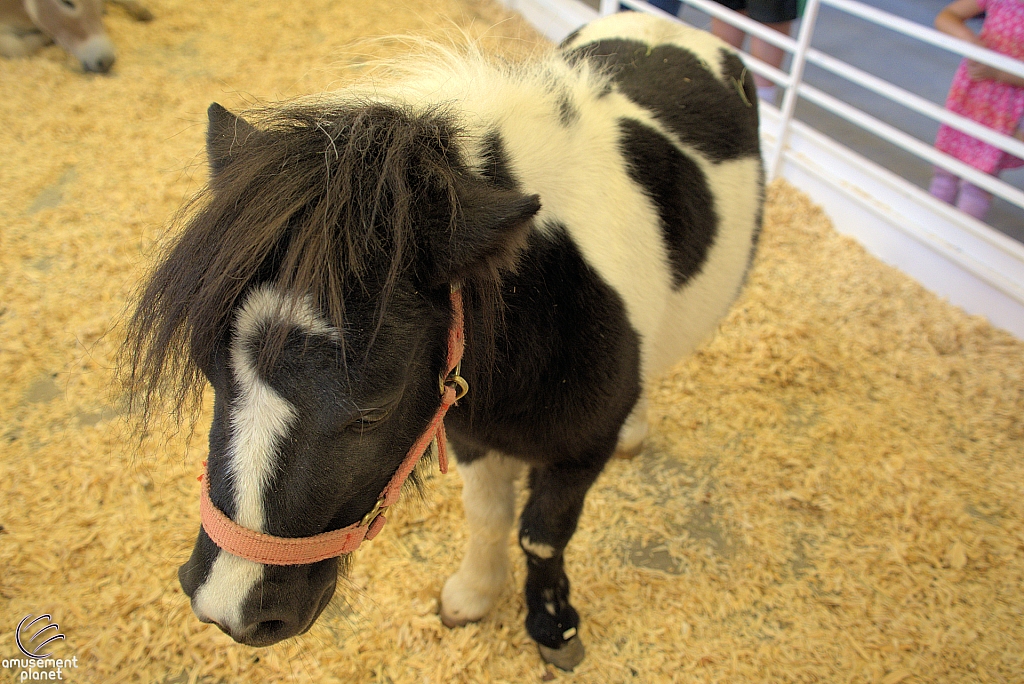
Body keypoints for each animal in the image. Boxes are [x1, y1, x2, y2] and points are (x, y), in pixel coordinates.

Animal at [121, 10, 761, 671]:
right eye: (210, 374)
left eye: (371, 412)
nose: (228, 608)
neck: (553, 289)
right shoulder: (468, 429)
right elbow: (486, 515)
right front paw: (474, 594)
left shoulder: (582, 450)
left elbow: (541, 537)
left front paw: (553, 627)